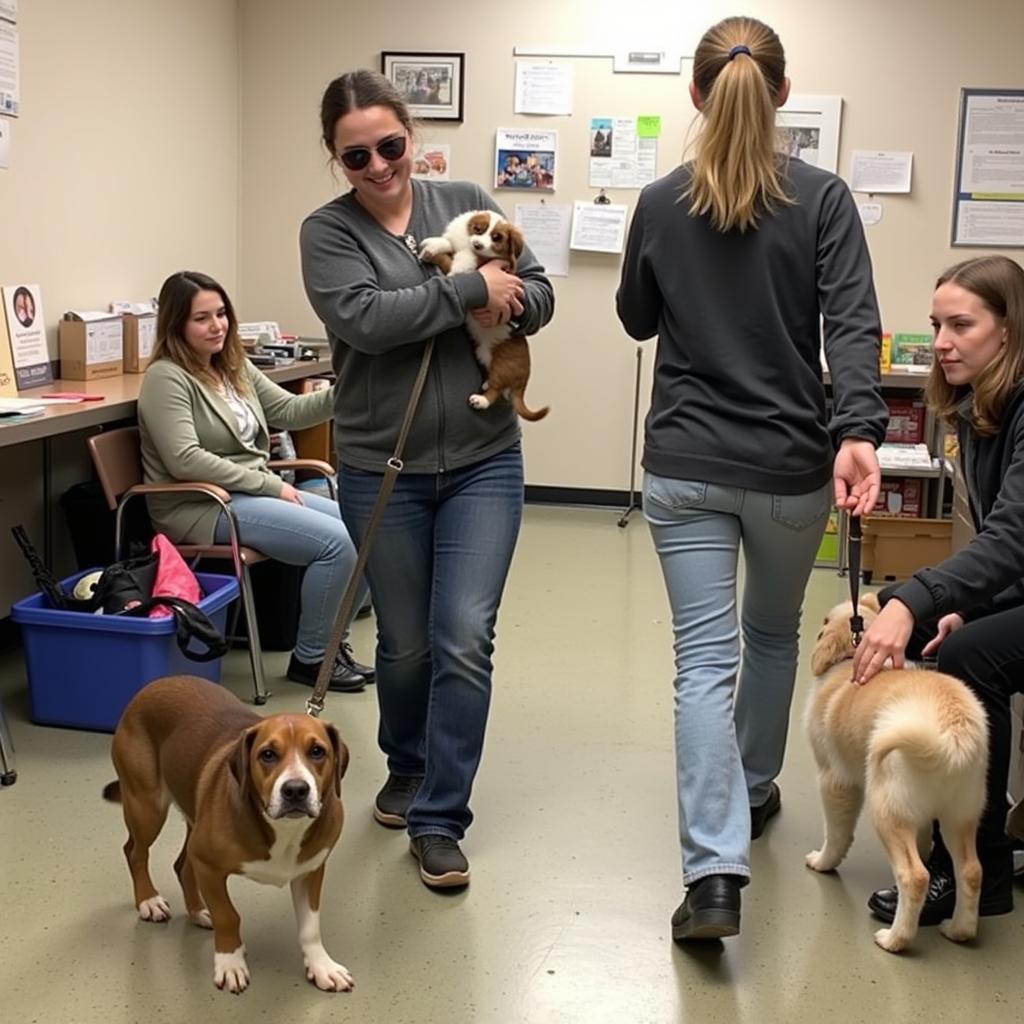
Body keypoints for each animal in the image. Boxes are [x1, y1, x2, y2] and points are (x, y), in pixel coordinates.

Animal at [102, 675, 352, 995]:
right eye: (267, 755)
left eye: (317, 752)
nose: (296, 790)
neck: (282, 830)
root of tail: (159, 682)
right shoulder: (209, 867)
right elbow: (228, 916)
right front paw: (230, 963)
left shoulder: (311, 871)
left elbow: (310, 927)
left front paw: (321, 966)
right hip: (147, 807)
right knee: (135, 851)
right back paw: (149, 900)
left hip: (192, 820)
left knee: (181, 865)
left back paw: (197, 912)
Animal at [417, 209, 548, 421]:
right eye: (478, 229)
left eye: (497, 238)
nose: (477, 244)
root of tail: (524, 381)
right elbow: (448, 244)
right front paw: (433, 244)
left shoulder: (472, 264)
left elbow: (452, 260)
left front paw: (438, 258)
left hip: (501, 364)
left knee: (495, 390)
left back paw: (481, 400)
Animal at [802, 593, 987, 950]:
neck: (850, 658)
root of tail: (953, 735)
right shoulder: (924, 819)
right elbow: (925, 840)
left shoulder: (834, 782)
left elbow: (836, 834)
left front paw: (823, 862)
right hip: (960, 815)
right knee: (971, 871)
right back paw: (959, 929)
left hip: (886, 809)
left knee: (914, 876)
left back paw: (895, 939)